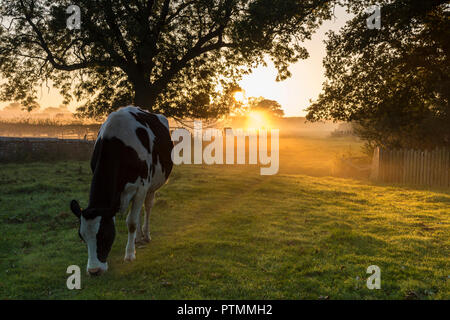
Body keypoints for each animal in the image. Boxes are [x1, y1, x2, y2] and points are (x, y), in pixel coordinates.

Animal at [69, 105, 173, 276]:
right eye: (82, 237)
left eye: (104, 235)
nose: (94, 271)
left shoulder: (141, 187)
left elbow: (131, 222)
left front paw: (130, 255)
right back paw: (137, 237)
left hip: (152, 185)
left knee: (147, 207)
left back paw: (146, 235)